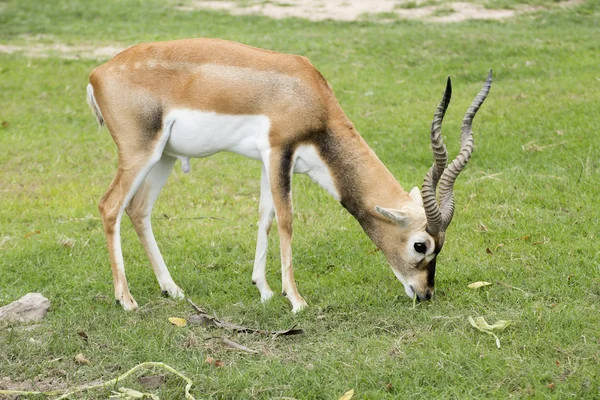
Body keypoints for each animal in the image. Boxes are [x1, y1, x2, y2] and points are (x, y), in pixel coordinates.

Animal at [88, 38, 492, 312]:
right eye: (420, 245)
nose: (425, 293)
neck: (309, 96)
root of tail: (97, 74)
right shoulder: (280, 150)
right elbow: (286, 219)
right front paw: (295, 298)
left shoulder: (268, 160)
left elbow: (265, 216)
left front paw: (264, 289)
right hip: (140, 154)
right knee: (109, 206)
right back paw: (126, 300)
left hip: (165, 157)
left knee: (138, 210)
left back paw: (171, 289)